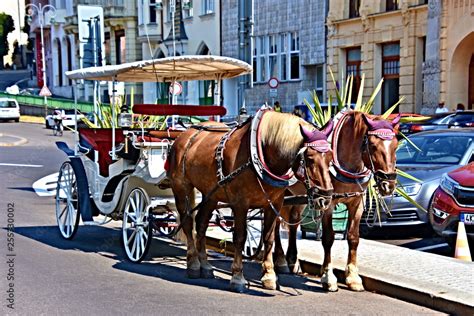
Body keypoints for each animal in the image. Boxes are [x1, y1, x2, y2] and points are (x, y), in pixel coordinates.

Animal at [167, 110, 334, 292]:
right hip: (181, 188)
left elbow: (268, 238)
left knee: (201, 224)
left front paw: (269, 275)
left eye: (331, 158)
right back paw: (194, 264)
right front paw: (237, 277)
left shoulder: (274, 203)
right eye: (309, 158)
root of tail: (185, 134)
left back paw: (205, 265)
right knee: (188, 223)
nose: (326, 198)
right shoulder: (240, 204)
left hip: (211, 194)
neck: (262, 152)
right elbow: (240, 237)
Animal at [270, 111, 400, 292]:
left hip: (300, 196)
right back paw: (281, 260)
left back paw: (292, 260)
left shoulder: (357, 203)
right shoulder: (328, 202)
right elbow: (328, 238)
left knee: (294, 221)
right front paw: (328, 277)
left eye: (396, 145)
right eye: (373, 146)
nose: (389, 184)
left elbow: (353, 237)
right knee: (275, 224)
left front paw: (352, 277)